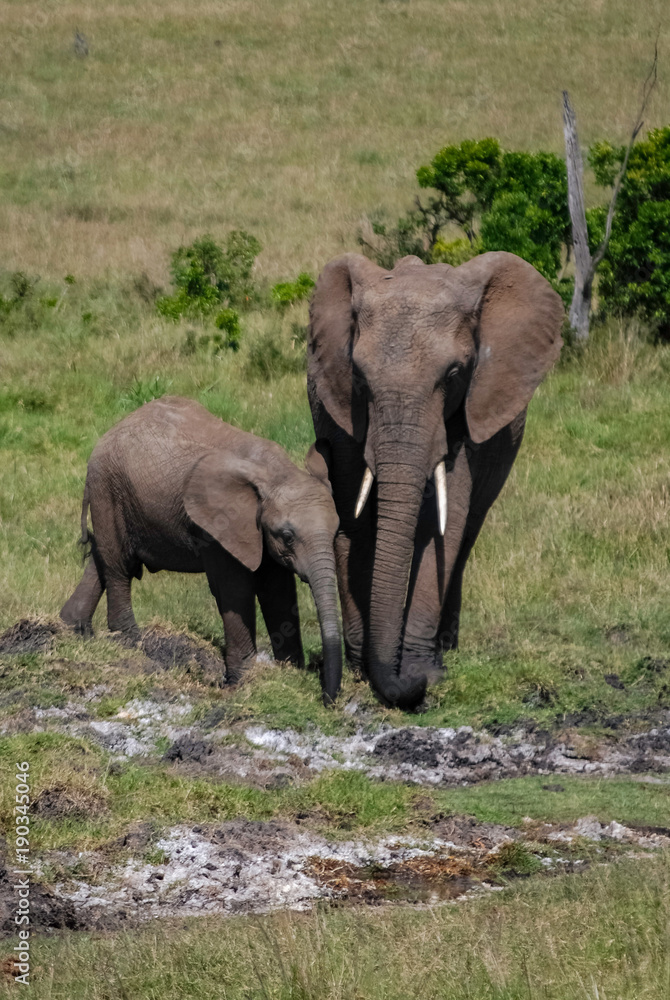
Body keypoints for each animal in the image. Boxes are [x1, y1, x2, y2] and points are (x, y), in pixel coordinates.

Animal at [60, 396, 342, 703]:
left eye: (336, 532)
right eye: (288, 536)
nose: (327, 699)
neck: (274, 473)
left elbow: (277, 590)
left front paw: (288, 675)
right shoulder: (217, 527)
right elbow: (234, 590)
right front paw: (242, 683)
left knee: (102, 558)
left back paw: (72, 628)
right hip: (107, 488)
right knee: (119, 566)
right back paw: (131, 641)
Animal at [307, 250, 563, 710]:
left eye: (454, 374)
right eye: (359, 377)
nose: (406, 684)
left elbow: (445, 522)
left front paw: (422, 672)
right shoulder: (340, 411)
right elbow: (353, 519)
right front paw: (364, 667)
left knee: (468, 532)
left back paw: (446, 647)